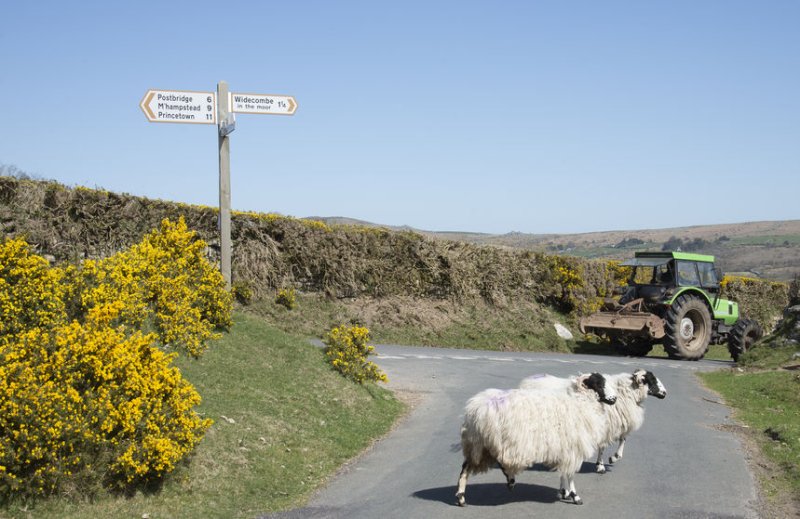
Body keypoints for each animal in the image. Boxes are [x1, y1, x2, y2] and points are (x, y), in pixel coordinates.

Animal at [456, 374, 620, 508]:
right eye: (599, 384)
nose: (615, 399)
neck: (580, 402)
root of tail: (475, 410)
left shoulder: (565, 449)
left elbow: (563, 472)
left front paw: (564, 491)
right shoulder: (573, 448)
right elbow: (570, 474)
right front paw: (575, 496)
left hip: (478, 445)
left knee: (466, 468)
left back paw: (462, 497)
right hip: (493, 443)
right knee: (498, 463)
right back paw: (509, 480)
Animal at [516, 370, 664, 476]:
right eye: (652, 380)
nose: (665, 392)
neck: (626, 392)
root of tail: (527, 380)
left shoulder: (614, 424)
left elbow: (623, 439)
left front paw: (614, 457)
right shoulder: (605, 425)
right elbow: (603, 446)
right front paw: (601, 466)